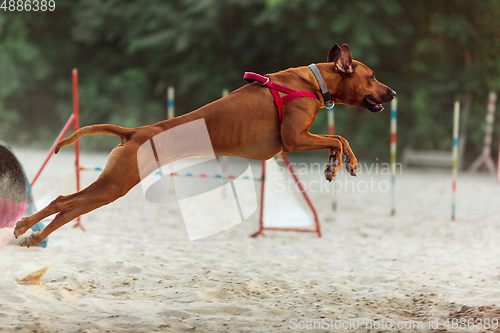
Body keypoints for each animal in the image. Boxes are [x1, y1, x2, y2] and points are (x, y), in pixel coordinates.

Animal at [15, 42, 394, 245]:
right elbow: (340, 138)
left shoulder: (299, 139)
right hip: (116, 183)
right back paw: (23, 224)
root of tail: (134, 132)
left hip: (112, 187)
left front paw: (334, 164)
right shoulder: (293, 139)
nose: (392, 92)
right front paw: (345, 162)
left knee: (70, 209)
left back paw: (35, 235)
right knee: (63, 201)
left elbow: (338, 138)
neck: (313, 82)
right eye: (373, 76)